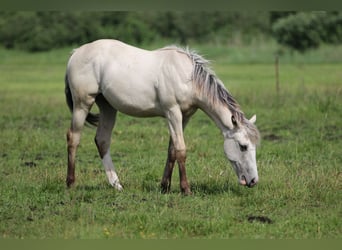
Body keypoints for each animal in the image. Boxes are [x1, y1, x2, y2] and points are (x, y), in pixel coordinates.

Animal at [65, 39, 260, 195]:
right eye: (243, 146)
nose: (253, 181)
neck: (187, 77)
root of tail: (76, 52)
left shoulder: (185, 116)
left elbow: (172, 150)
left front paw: (165, 186)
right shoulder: (172, 112)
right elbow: (181, 150)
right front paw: (185, 189)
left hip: (107, 107)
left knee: (102, 141)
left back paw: (116, 185)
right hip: (82, 104)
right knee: (73, 138)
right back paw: (71, 183)